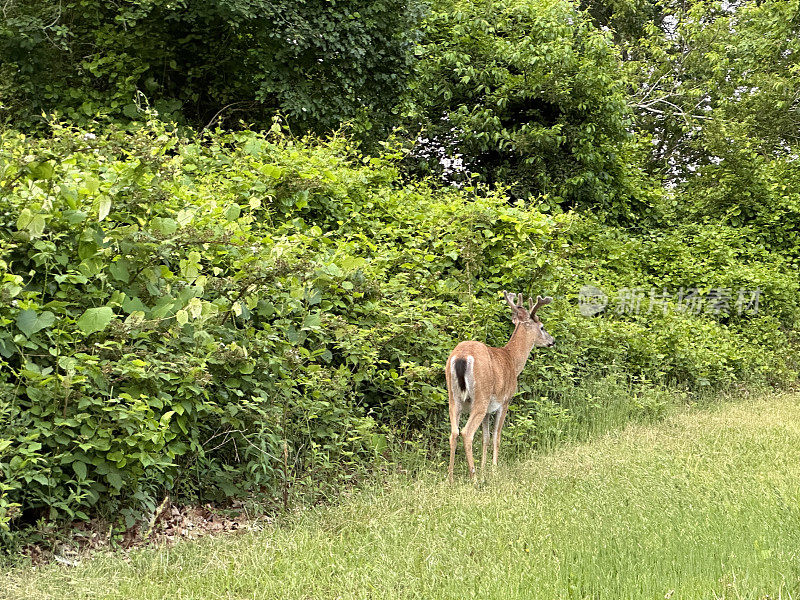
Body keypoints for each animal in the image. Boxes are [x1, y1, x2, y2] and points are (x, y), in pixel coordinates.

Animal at [444, 292, 556, 482]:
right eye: (542, 327)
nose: (552, 341)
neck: (512, 360)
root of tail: (461, 357)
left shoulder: (489, 409)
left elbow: (486, 438)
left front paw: (484, 468)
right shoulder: (505, 401)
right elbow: (497, 436)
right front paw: (494, 469)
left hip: (453, 398)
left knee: (454, 432)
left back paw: (450, 478)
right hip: (480, 397)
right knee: (466, 432)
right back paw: (474, 478)